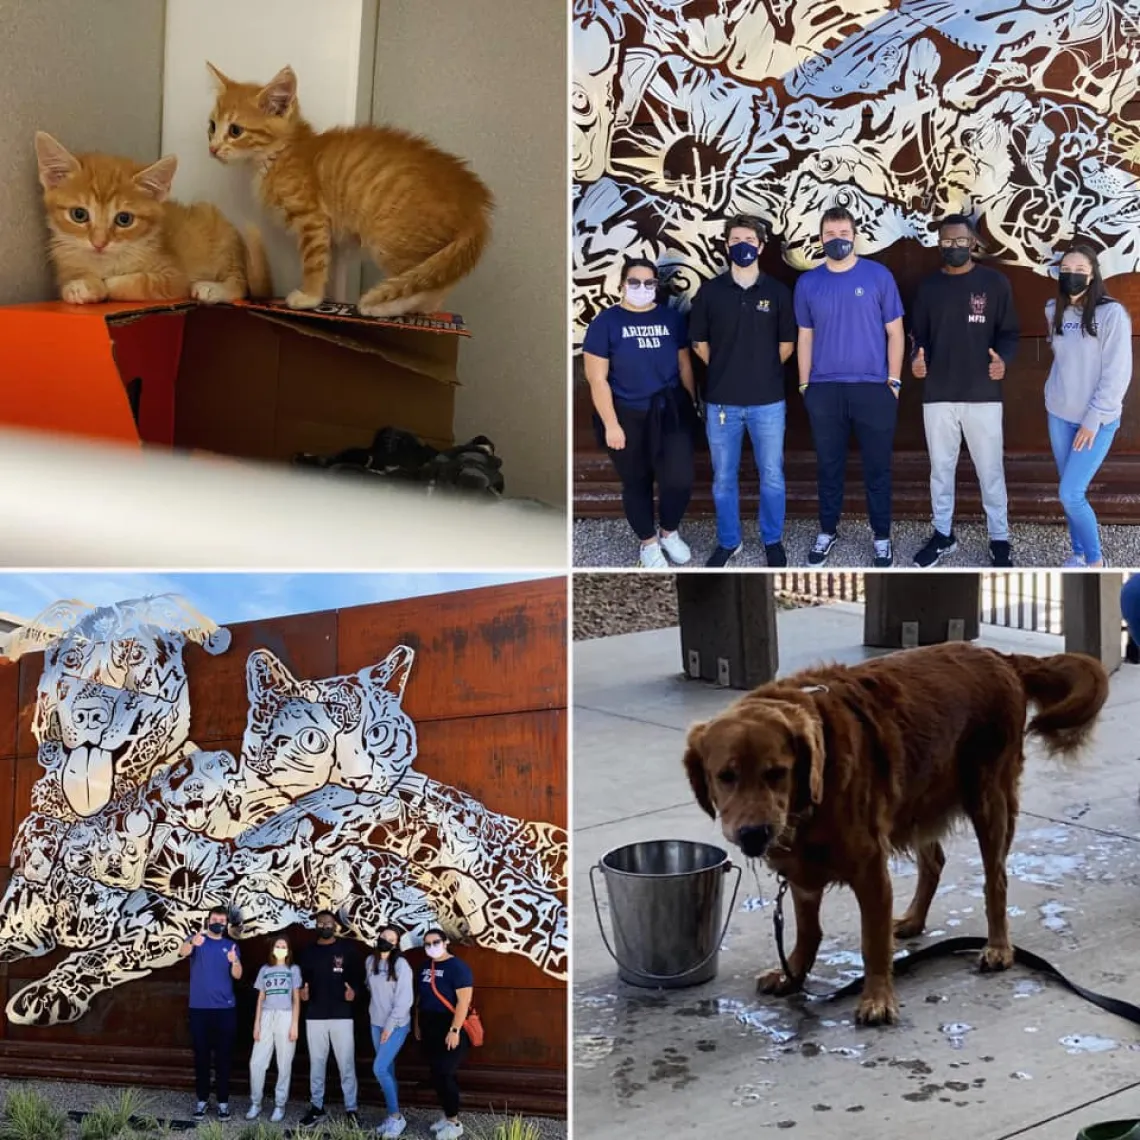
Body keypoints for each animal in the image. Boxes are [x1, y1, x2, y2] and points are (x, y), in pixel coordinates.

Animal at [34, 129, 270, 305]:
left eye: (124, 219)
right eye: (79, 214)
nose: (99, 243)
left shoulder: (173, 277)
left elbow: (131, 283)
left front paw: (102, 284)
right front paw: (79, 285)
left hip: (220, 236)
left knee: (241, 284)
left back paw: (212, 288)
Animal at [207, 64, 492, 319]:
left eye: (235, 130)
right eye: (211, 126)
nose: (212, 149)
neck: (277, 155)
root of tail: (473, 202)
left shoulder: (312, 219)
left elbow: (313, 262)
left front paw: (309, 297)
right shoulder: (333, 236)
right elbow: (329, 264)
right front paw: (329, 299)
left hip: (392, 240)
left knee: (428, 284)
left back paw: (387, 307)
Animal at [679, 647, 1108, 1030]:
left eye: (776, 773)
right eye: (726, 776)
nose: (754, 835)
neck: (813, 798)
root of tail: (1000, 657)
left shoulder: (870, 869)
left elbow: (873, 942)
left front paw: (877, 999)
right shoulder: (802, 874)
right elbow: (807, 931)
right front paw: (793, 973)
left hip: (989, 801)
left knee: (996, 880)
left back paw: (999, 946)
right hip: (919, 798)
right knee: (935, 862)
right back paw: (915, 919)